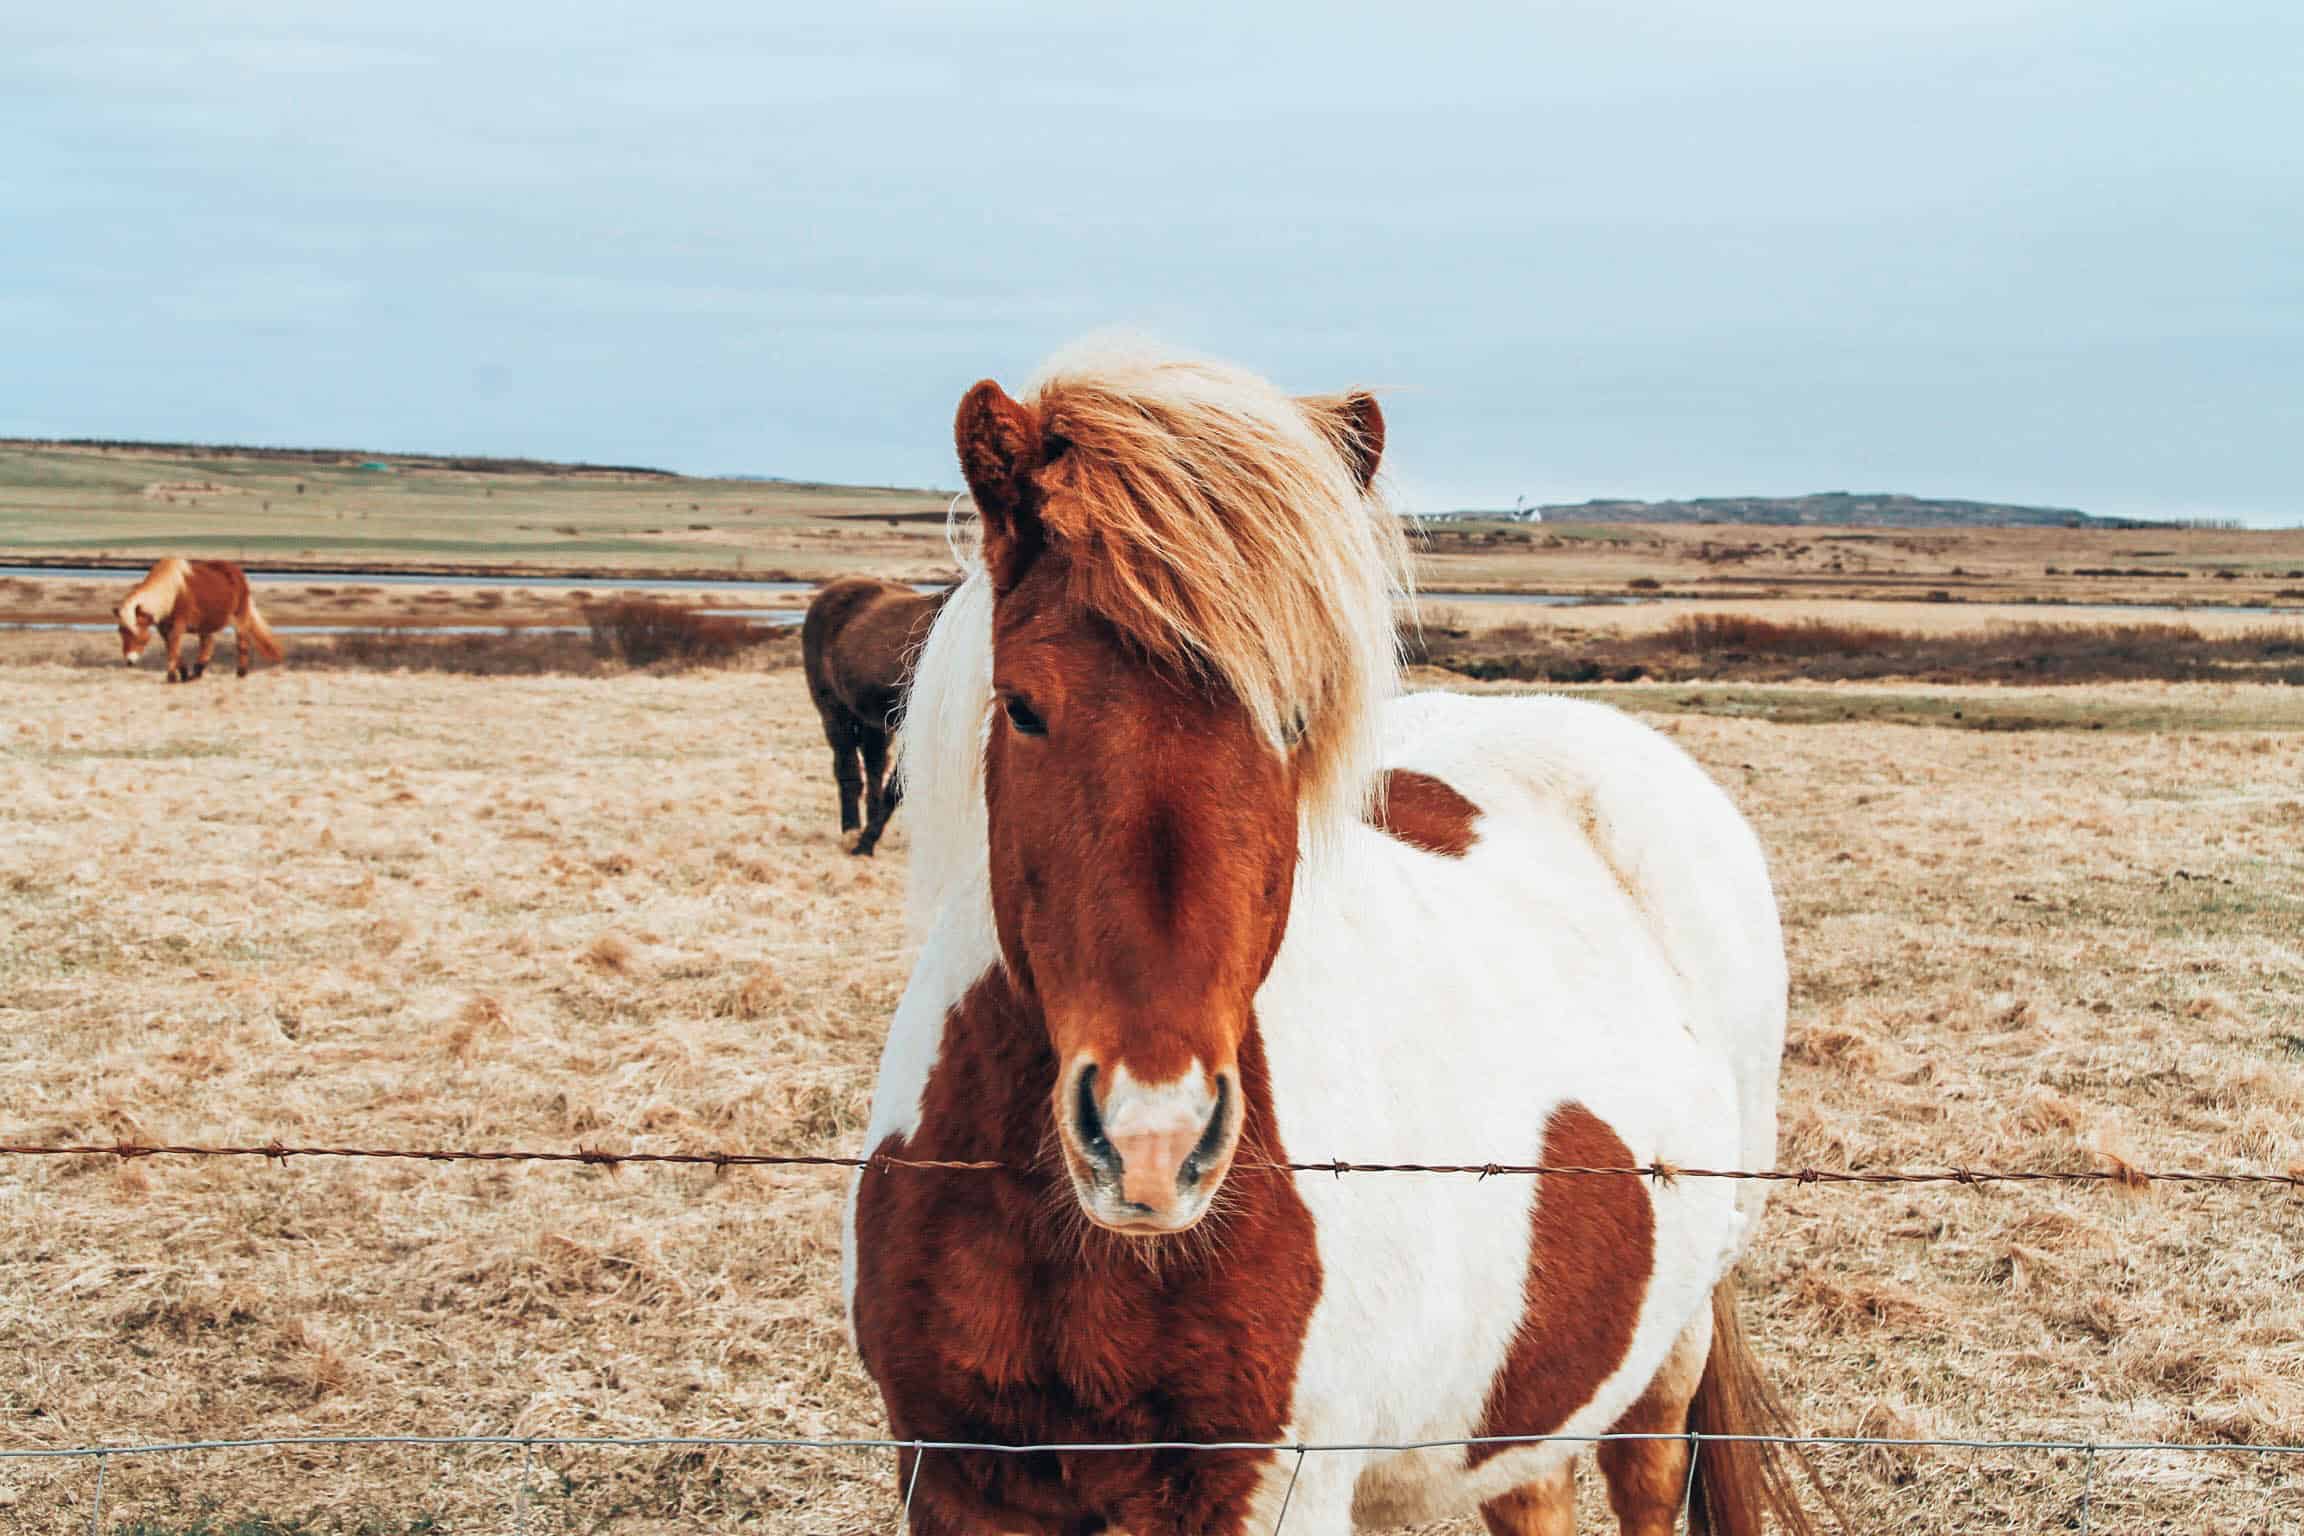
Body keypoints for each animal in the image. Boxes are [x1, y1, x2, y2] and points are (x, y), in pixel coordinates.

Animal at [116, 559, 285, 686]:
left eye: (135, 632)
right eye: (121, 632)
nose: (129, 661)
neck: (172, 593)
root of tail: (236, 572)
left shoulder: (178, 626)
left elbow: (173, 649)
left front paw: (172, 677)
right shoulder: (164, 630)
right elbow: (173, 649)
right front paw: (183, 673)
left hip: (240, 616)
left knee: (241, 642)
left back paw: (241, 673)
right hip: (206, 624)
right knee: (208, 645)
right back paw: (197, 672)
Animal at [806, 575, 949, 861]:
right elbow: (897, 788)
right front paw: (864, 844)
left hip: (875, 724)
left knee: (874, 765)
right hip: (834, 713)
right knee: (848, 769)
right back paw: (852, 832)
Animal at [847, 347, 1815, 1536]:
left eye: (1296, 719)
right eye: (1023, 706)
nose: (1154, 1143)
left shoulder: (1276, 1490)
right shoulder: (954, 1478)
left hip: (1670, 1339)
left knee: (1647, 1471)